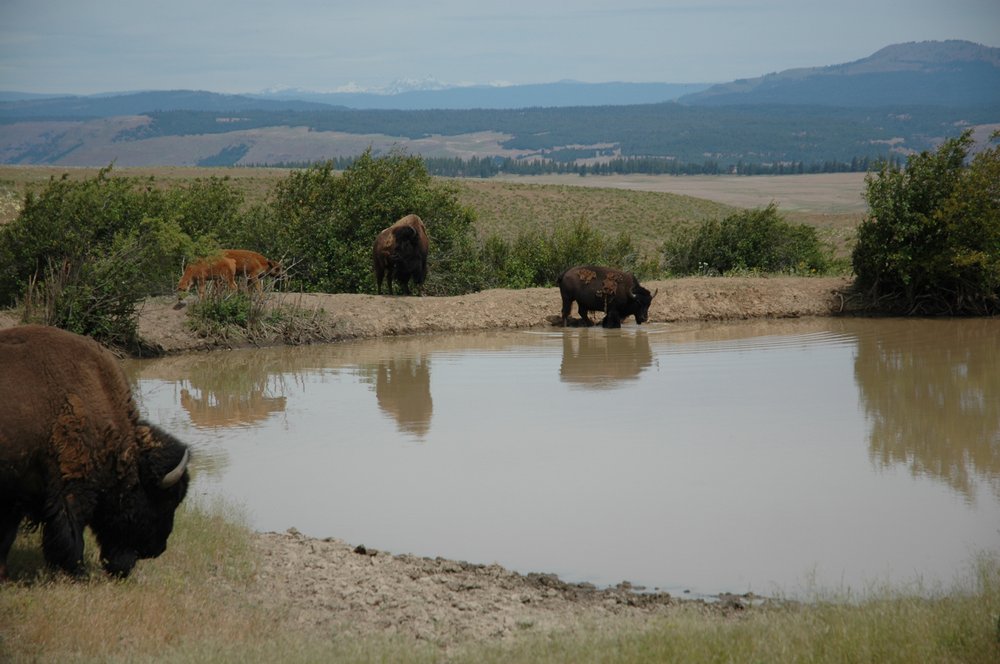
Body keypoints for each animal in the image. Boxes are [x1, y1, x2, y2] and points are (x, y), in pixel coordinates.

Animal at [0, 325, 191, 579]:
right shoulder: (71, 484)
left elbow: (6, 535)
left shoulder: (16, 491)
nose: (157, 549)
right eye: (167, 501)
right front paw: (77, 572)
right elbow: (70, 533)